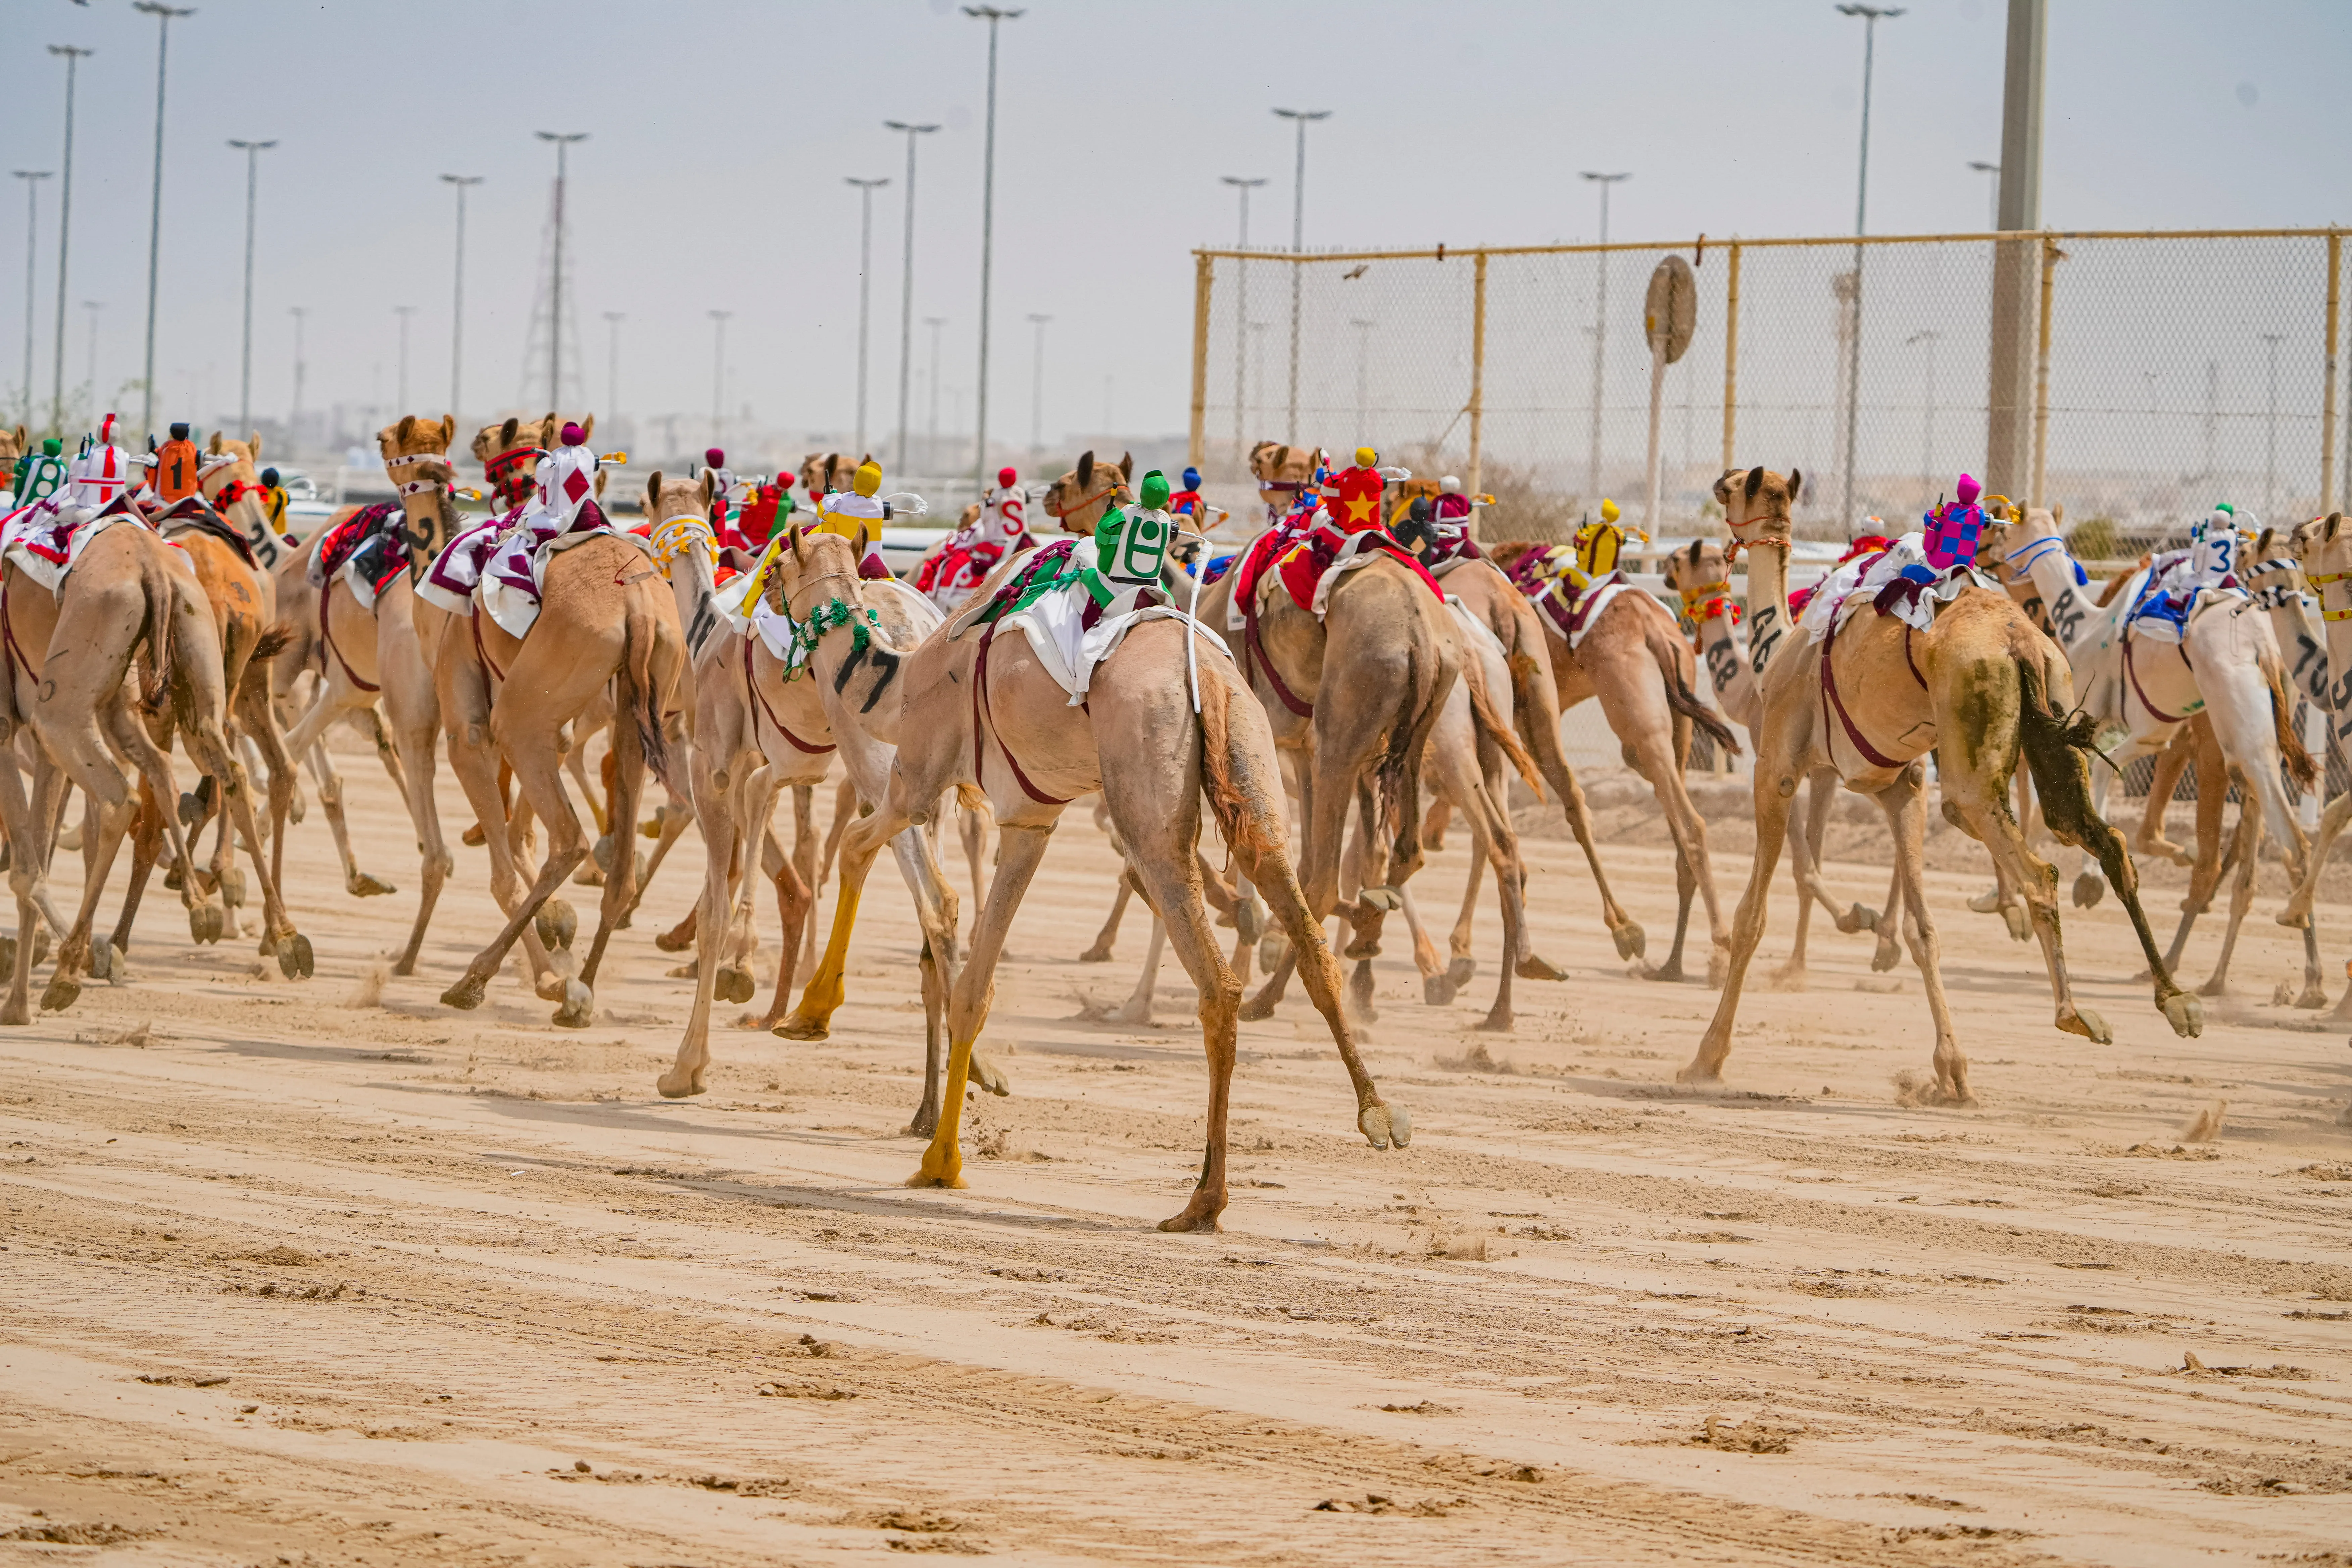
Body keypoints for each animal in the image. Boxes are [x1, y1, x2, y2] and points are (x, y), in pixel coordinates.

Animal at [775, 493, 1404, 1231]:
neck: (900, 681)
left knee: (1214, 977)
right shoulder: (1030, 821)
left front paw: (813, 1018)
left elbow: (856, 847)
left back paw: (1203, 1197)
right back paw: (1378, 1114)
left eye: (775, 562)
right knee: (1304, 931)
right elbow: (974, 988)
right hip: (1254, 769)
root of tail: (1206, 677)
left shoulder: (918, 777)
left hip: (1147, 792)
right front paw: (943, 1156)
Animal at [1686, 466, 2200, 1101]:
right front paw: (1951, 1070)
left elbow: (1751, 919)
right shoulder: (1899, 788)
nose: (1716, 484)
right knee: (2102, 840)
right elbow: (1922, 928)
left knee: (2038, 872)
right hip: (2053, 715)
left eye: (1734, 486)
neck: (1776, 649)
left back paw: (2077, 1014)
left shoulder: (1776, 772)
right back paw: (2176, 1001)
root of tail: (2019, 641)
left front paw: (1706, 1058)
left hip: (1969, 754)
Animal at [1977, 506, 2317, 1002]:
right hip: (2261, 732)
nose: (1980, 553)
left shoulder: (2117, 720)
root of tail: (2265, 647)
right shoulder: (2156, 732)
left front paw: (2084, 883)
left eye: (2000, 525)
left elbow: (2082, 785)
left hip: (2240, 734)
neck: (2086, 620)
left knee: (2288, 843)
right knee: (2269, 852)